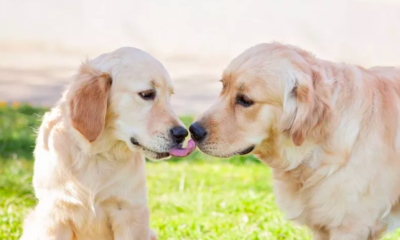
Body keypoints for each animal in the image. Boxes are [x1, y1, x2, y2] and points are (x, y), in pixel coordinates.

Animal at [20, 47, 195, 240]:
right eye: (147, 94)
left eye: (169, 96)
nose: (182, 134)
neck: (97, 154)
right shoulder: (55, 214)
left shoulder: (130, 213)